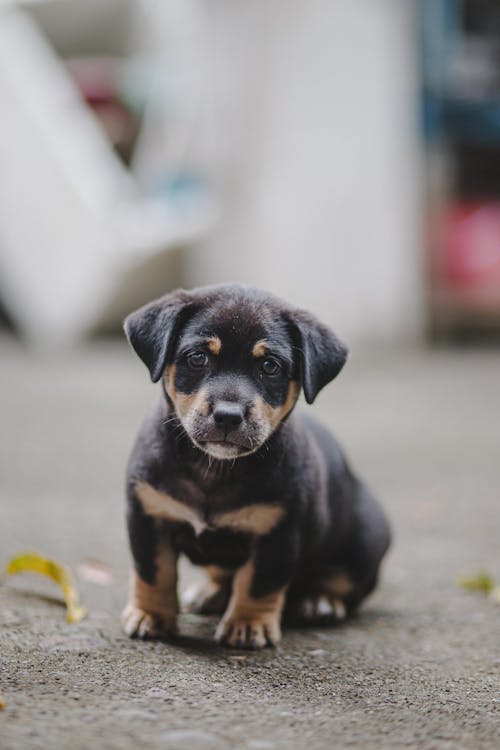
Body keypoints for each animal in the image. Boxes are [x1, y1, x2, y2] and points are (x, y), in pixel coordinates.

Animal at [121, 284, 390, 648]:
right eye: (198, 358)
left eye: (270, 366)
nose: (227, 416)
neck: (214, 469)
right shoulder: (148, 514)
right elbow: (153, 572)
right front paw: (150, 615)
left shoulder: (279, 531)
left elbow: (259, 583)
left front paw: (248, 625)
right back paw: (209, 593)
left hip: (364, 541)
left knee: (342, 581)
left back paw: (319, 601)